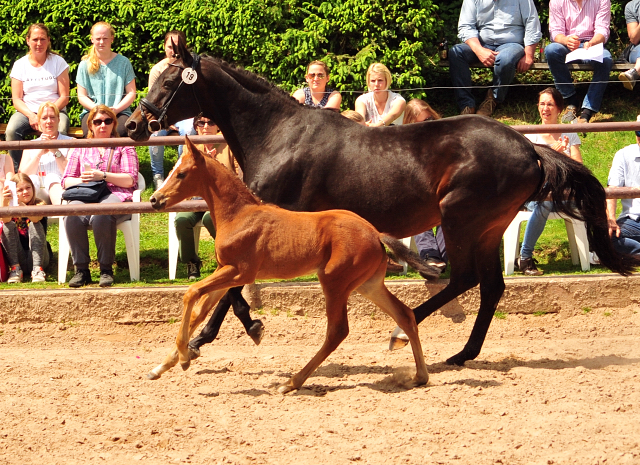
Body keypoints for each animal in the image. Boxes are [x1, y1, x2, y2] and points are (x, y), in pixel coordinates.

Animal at [150, 138, 440, 392]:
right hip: (368, 285)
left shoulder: (239, 272)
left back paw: (291, 382)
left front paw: (184, 358)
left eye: (181, 174)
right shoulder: (226, 273)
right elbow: (199, 312)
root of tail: (375, 233)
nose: (154, 199)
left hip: (334, 282)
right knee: (405, 314)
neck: (238, 215)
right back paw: (420, 376)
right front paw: (163, 366)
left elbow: (191, 294)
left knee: (337, 331)